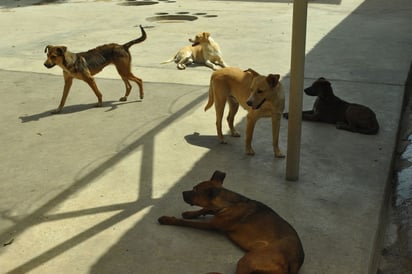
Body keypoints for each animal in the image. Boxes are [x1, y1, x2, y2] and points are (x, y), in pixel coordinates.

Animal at [156, 170, 304, 272]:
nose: (182, 193)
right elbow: (205, 209)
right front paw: (189, 213)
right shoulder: (216, 211)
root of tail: (296, 259)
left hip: (248, 260)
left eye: (195, 191)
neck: (228, 204)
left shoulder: (211, 225)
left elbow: (187, 222)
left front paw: (168, 219)